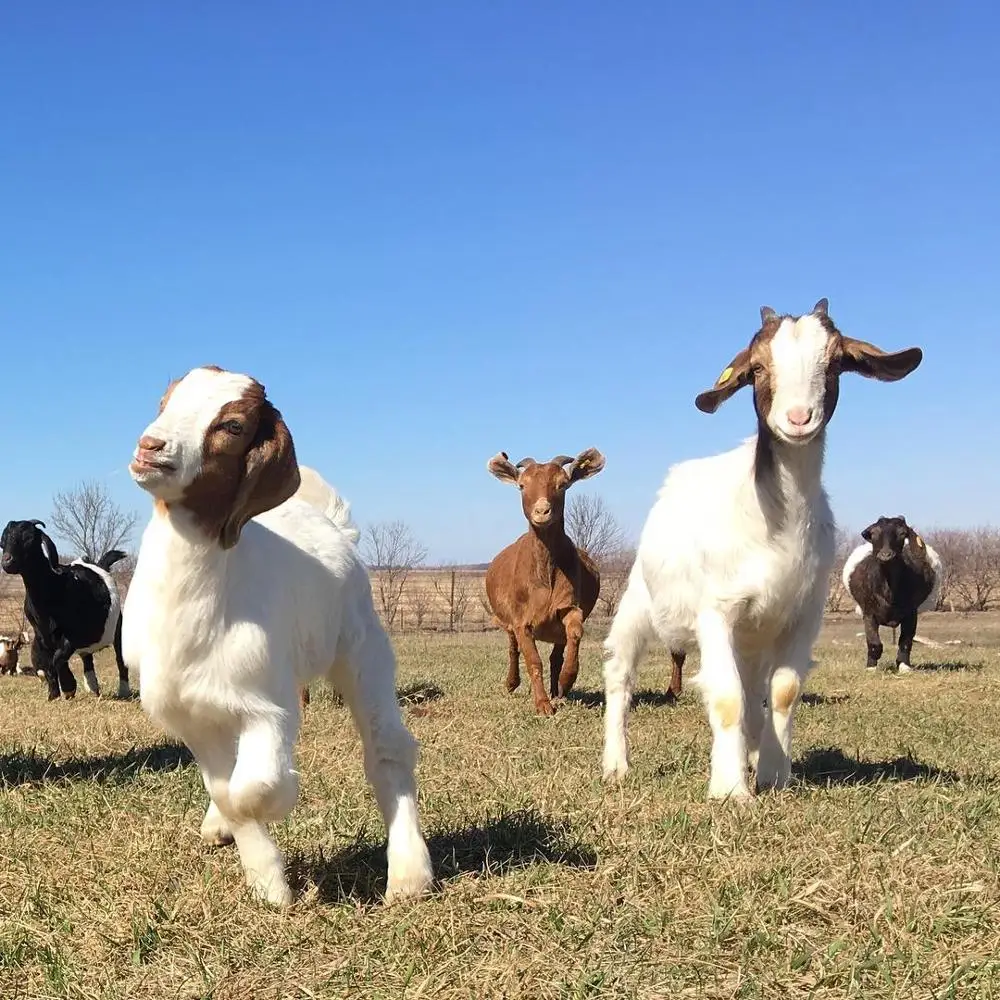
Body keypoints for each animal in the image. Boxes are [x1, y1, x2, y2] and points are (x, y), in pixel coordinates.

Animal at [0, 519, 131, 700]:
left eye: (28, 538)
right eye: (3, 540)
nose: (7, 561)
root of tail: (100, 565)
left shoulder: (74, 634)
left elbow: (58, 658)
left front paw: (69, 688)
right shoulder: (40, 637)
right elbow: (46, 665)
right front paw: (53, 695)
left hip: (118, 626)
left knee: (120, 658)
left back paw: (124, 691)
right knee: (87, 659)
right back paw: (93, 688)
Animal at [121, 365, 433, 907]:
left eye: (234, 426)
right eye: (166, 399)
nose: (151, 446)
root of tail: (333, 527)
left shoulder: (268, 703)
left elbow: (253, 788)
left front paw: (282, 806)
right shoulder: (188, 714)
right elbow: (227, 792)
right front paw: (268, 885)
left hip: (361, 648)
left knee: (388, 747)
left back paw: (409, 875)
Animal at [485, 449, 606, 715]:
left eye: (563, 484)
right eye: (522, 485)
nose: (542, 511)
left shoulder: (568, 604)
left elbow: (575, 633)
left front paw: (565, 681)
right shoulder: (520, 619)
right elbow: (532, 659)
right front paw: (542, 705)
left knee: (556, 654)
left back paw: (557, 690)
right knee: (513, 648)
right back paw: (512, 682)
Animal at [602, 298, 923, 799]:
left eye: (836, 361)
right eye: (756, 368)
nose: (798, 418)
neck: (776, 519)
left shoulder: (802, 614)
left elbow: (783, 692)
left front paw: (772, 773)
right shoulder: (716, 610)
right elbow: (727, 697)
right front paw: (730, 789)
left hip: (753, 636)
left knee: (755, 691)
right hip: (639, 599)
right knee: (621, 672)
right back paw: (617, 764)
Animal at [842, 515, 942, 673]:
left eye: (902, 533)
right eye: (873, 533)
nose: (886, 555)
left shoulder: (911, 613)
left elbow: (906, 641)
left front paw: (904, 665)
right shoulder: (868, 612)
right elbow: (874, 643)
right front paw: (871, 667)